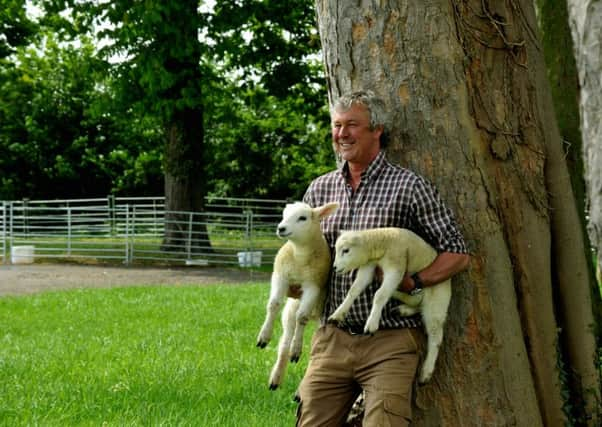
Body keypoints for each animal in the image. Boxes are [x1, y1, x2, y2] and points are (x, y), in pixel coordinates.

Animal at [254, 201, 338, 392]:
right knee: (284, 344)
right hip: (290, 310)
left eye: (302, 218)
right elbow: (273, 304)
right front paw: (264, 335)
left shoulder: (313, 286)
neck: (300, 256)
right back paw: (276, 378)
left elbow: (302, 317)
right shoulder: (280, 276)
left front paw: (296, 348)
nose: (281, 228)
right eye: (284, 214)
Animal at [328, 229, 450, 386]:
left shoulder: (396, 266)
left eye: (346, 250)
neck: (382, 242)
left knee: (435, 334)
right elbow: (354, 289)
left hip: (437, 299)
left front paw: (371, 324)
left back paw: (426, 372)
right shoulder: (369, 265)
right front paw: (338, 314)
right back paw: (402, 308)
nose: (335, 268)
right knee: (417, 302)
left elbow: (379, 295)